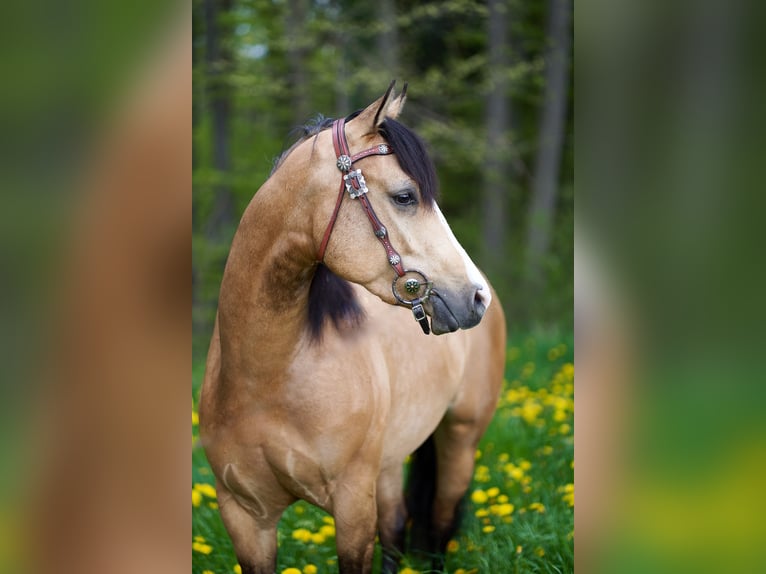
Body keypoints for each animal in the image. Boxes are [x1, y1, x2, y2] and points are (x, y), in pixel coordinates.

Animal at [201, 82, 508, 574]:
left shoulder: (351, 509)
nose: (475, 297)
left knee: (440, 522)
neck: (262, 378)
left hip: (460, 437)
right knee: (397, 526)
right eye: (405, 196)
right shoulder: (245, 518)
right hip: (388, 462)